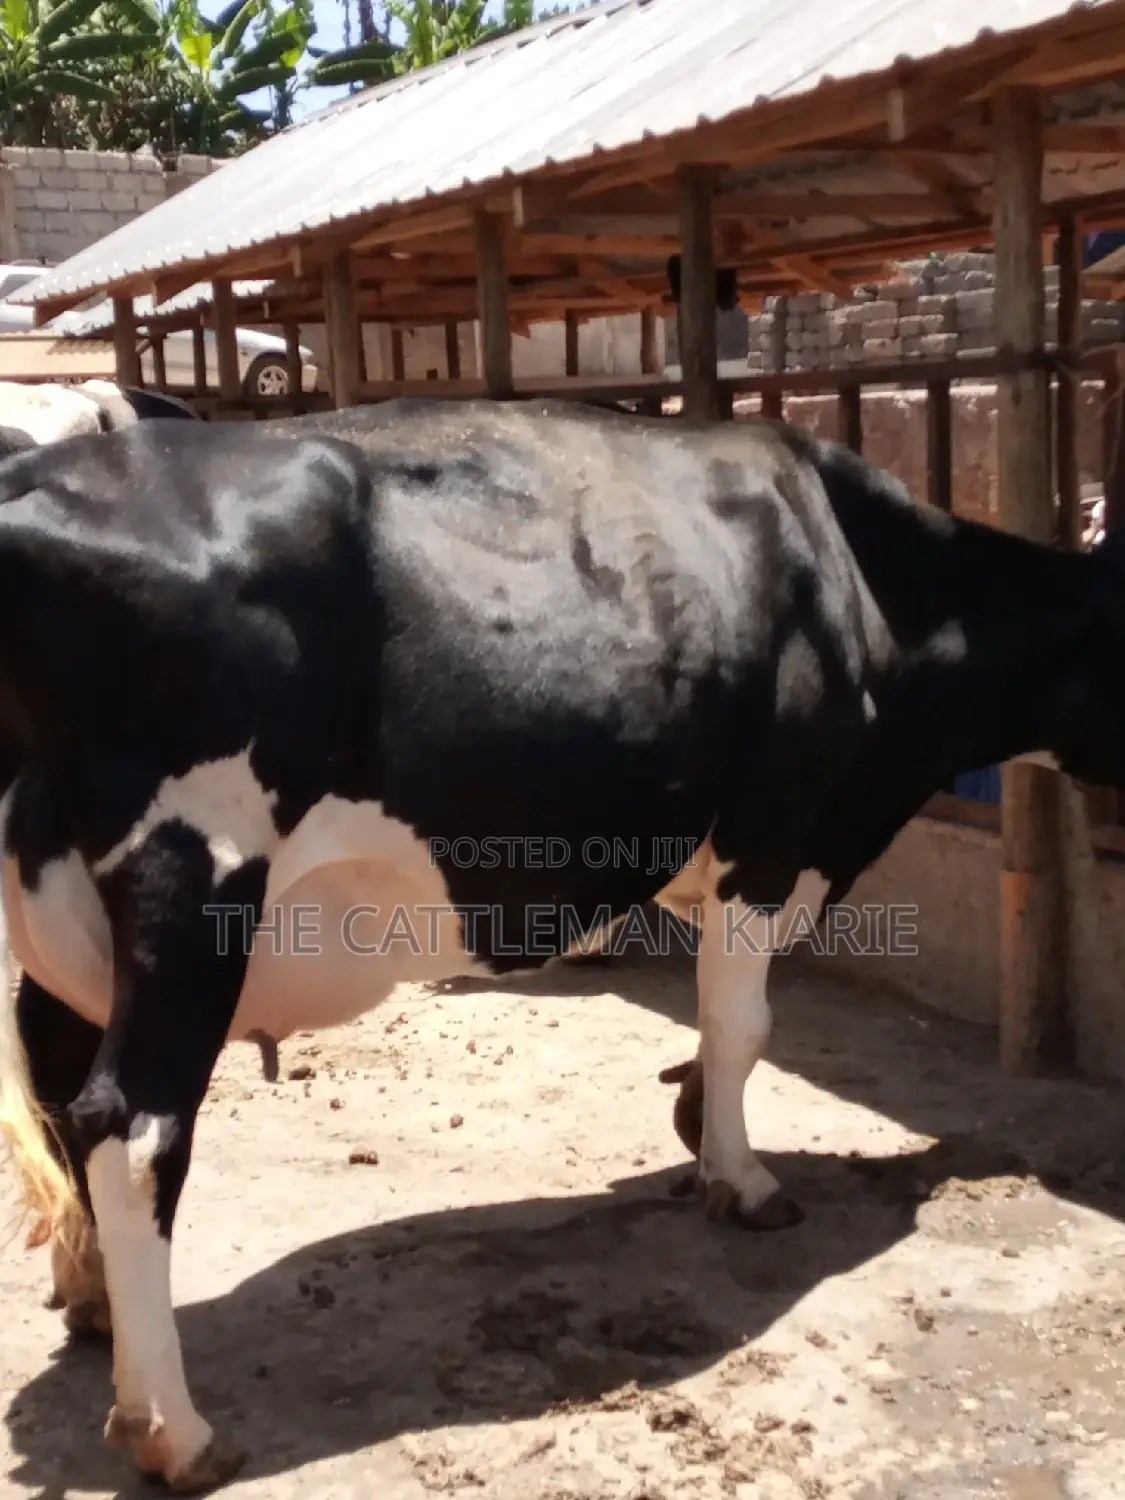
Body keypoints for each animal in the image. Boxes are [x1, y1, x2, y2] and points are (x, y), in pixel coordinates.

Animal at [1, 396, 1125, 1492]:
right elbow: (743, 1023)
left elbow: (717, 1028)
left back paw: (90, 1302)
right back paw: (174, 1429)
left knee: (55, 1080)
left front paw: (693, 1120)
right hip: (193, 881)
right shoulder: (770, 836)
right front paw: (743, 1180)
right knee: (131, 1125)